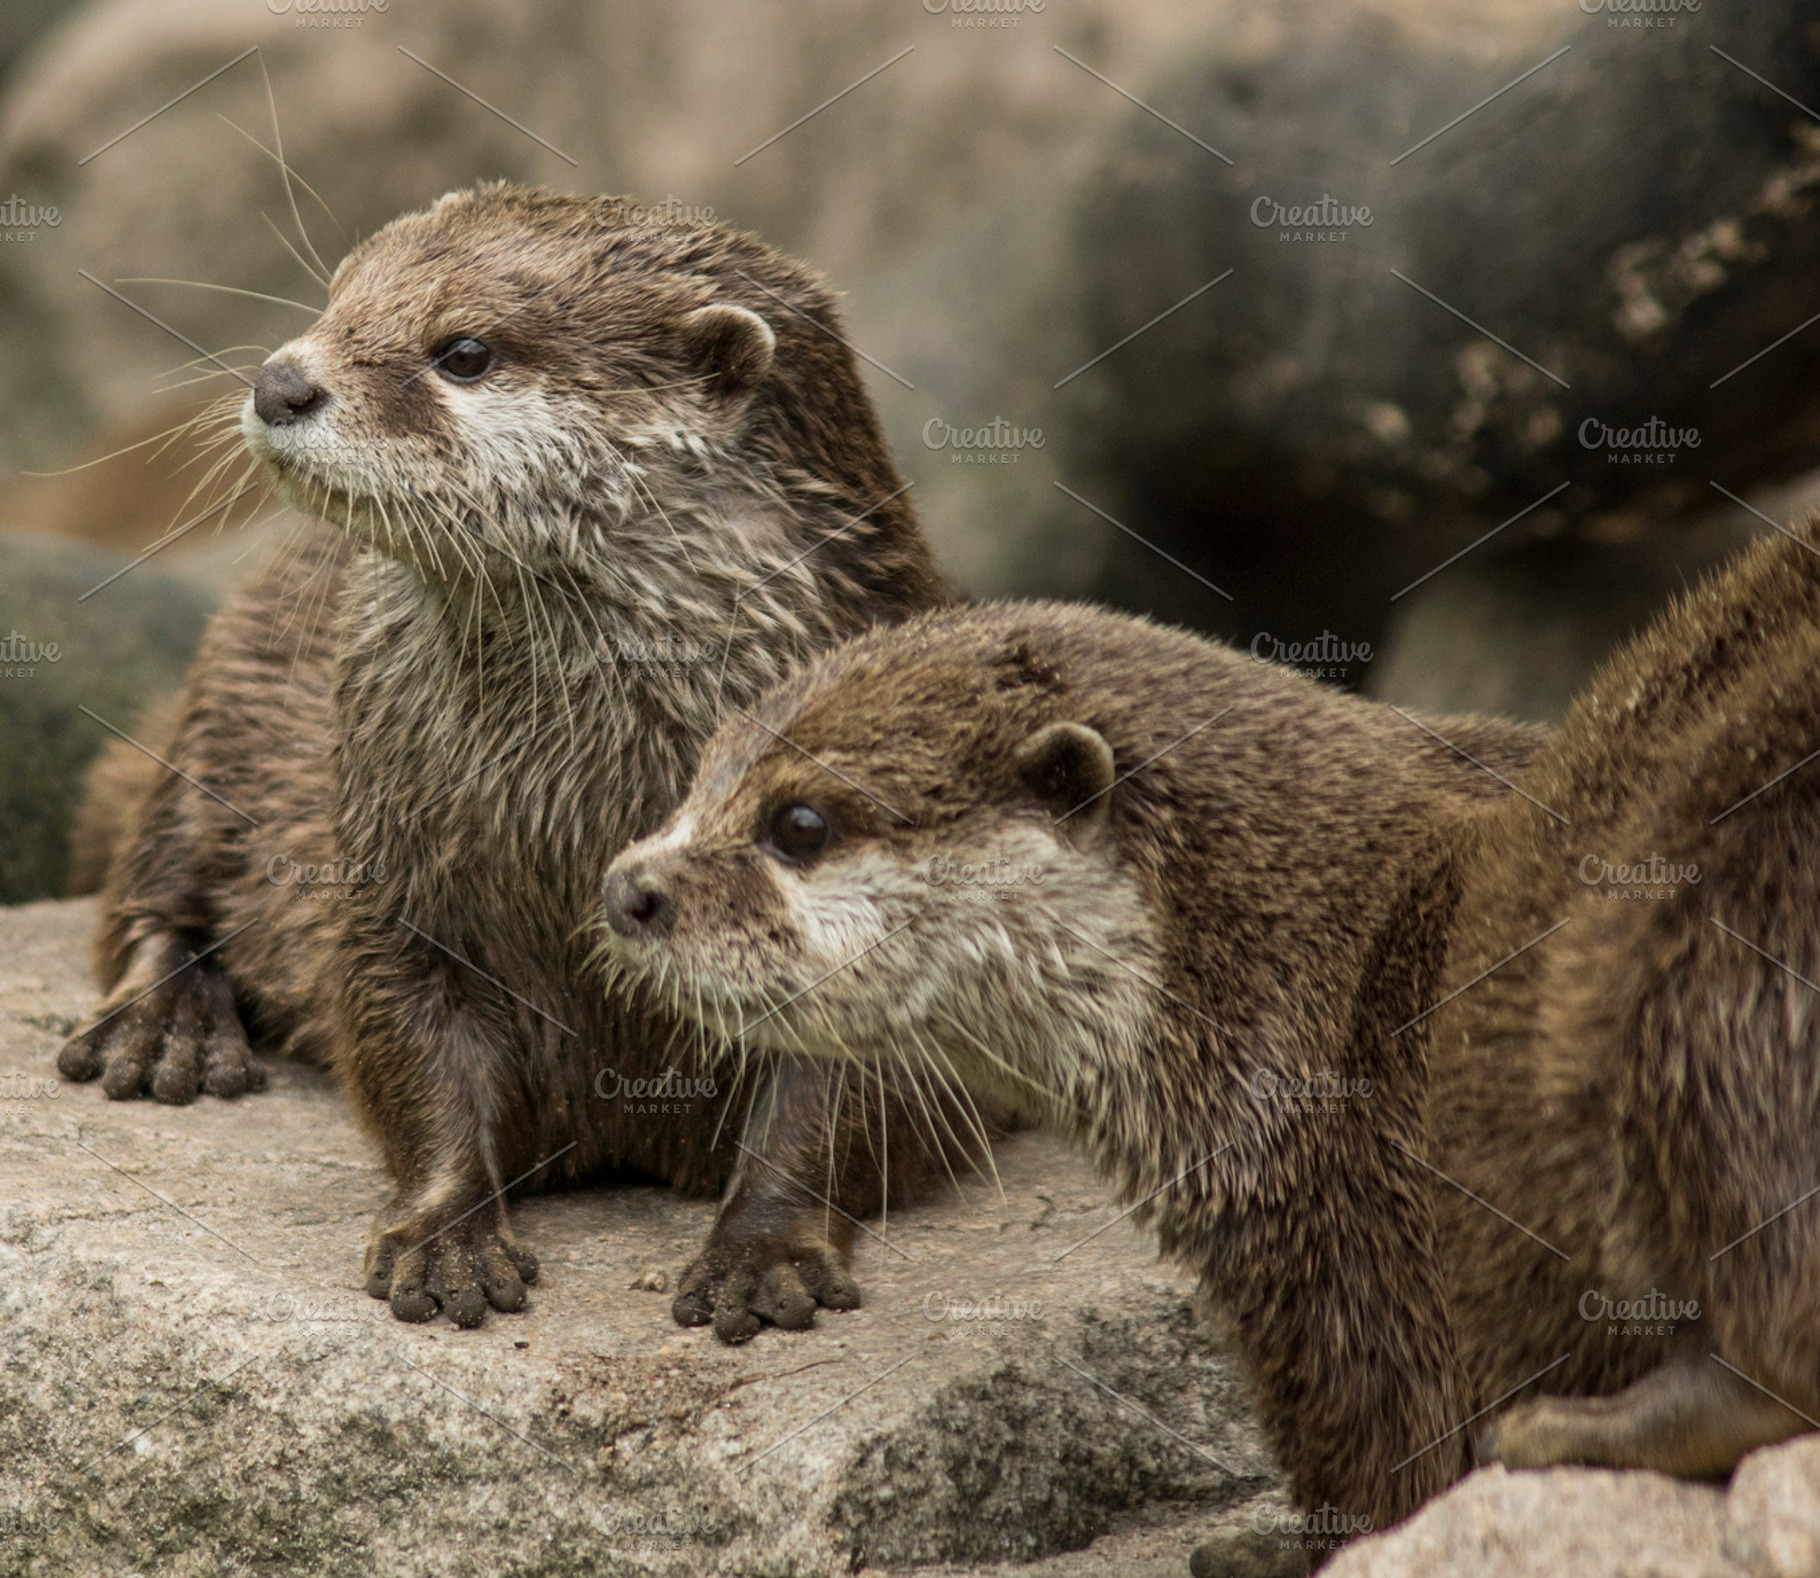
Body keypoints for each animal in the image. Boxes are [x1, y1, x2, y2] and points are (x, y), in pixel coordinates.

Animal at [57, 183, 981, 1338]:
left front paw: (762, 1250)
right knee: (158, 864)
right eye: (337, 295)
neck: (581, 814)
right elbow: (408, 1038)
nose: (280, 381)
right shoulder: (393, 861)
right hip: (225, 701)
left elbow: (848, 1089)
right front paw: (447, 1237)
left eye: (463, 351)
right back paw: (160, 1025)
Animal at [600, 519, 1820, 1557]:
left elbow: (1386, 1470)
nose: (628, 887)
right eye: (698, 772)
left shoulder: (1360, 1269)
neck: (1309, 965)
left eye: (798, 823)